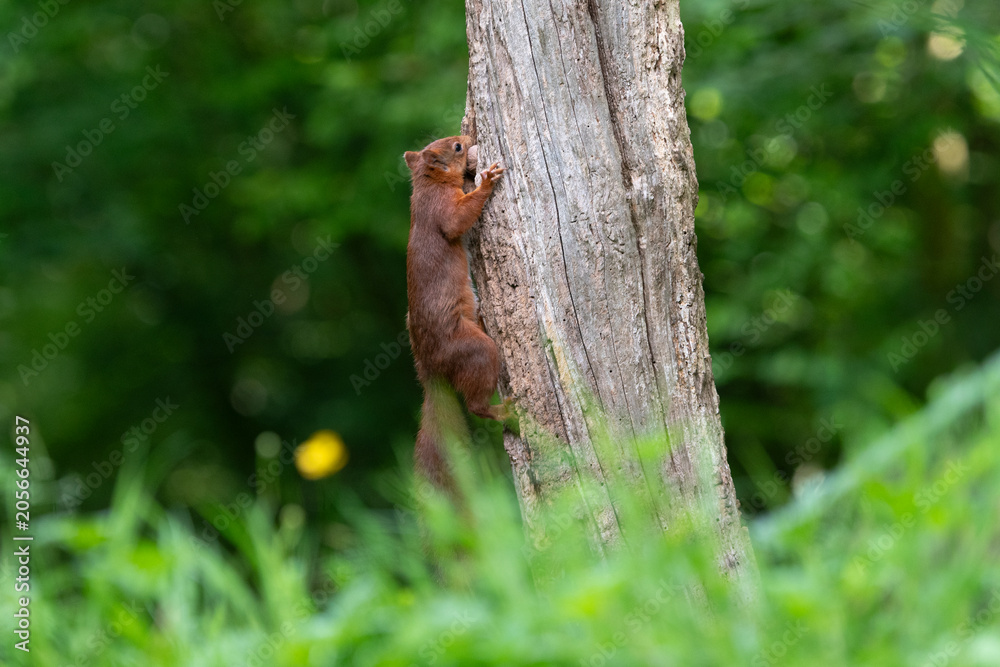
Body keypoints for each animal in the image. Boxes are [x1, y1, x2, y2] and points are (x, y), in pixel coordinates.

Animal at [403, 135, 508, 493]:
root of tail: (430, 370)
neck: (427, 185)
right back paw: (505, 413)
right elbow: (456, 221)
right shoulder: (442, 209)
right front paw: (486, 181)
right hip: (473, 350)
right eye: (457, 148)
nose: (466, 138)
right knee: (476, 406)